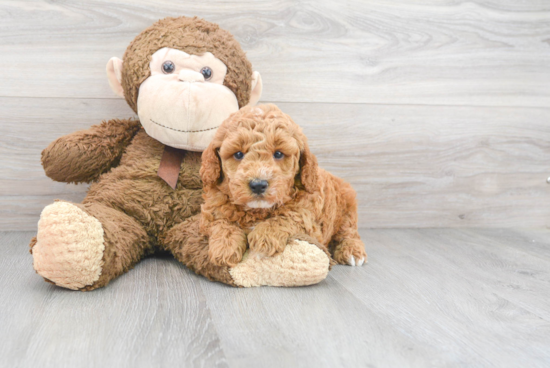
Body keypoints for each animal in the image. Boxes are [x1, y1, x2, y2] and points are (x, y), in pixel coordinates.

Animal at [201, 103, 368, 268]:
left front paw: (265, 236)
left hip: (347, 208)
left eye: (278, 154)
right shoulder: (211, 211)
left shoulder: (309, 222)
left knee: (348, 232)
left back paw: (352, 251)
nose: (258, 185)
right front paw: (225, 246)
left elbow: (288, 217)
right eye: (238, 154)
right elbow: (221, 222)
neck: (257, 211)